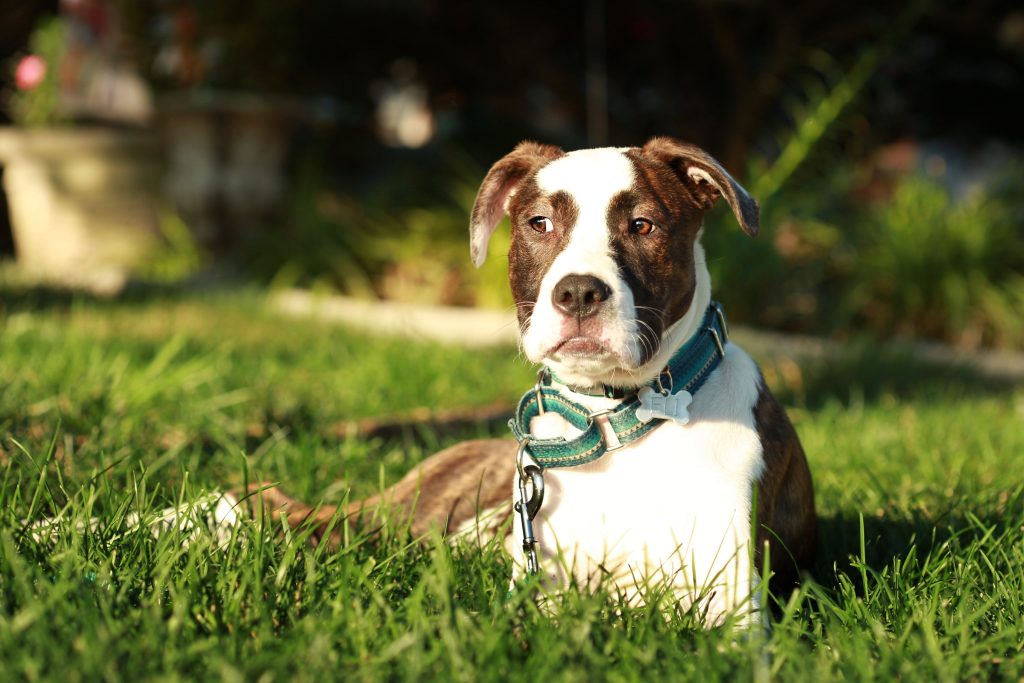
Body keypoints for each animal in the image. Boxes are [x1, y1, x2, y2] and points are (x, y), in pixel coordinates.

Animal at [251, 137, 819, 626]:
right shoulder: (542, 592)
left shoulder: (733, 603)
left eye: (643, 225)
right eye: (539, 223)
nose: (579, 292)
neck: (614, 420)